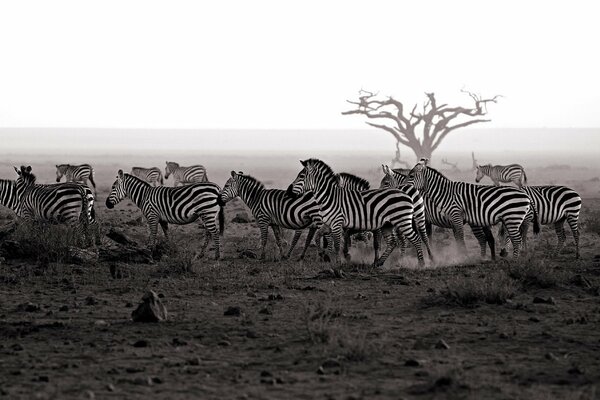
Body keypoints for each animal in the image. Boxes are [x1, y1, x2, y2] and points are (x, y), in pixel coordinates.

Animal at [286, 159, 432, 266]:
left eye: (301, 176)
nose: (288, 191)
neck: (331, 197)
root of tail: (406, 192)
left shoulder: (344, 223)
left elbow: (348, 242)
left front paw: (340, 258)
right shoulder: (333, 224)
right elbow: (319, 237)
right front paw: (326, 255)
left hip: (405, 220)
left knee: (416, 238)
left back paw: (421, 263)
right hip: (391, 223)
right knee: (395, 242)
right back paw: (381, 263)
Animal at [406, 163, 536, 260]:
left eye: (411, 176)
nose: (404, 189)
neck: (447, 193)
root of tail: (526, 195)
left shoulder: (456, 215)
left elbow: (460, 237)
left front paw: (463, 256)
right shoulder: (452, 219)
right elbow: (457, 238)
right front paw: (460, 255)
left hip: (513, 218)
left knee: (517, 238)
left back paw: (515, 260)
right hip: (511, 219)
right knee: (514, 237)